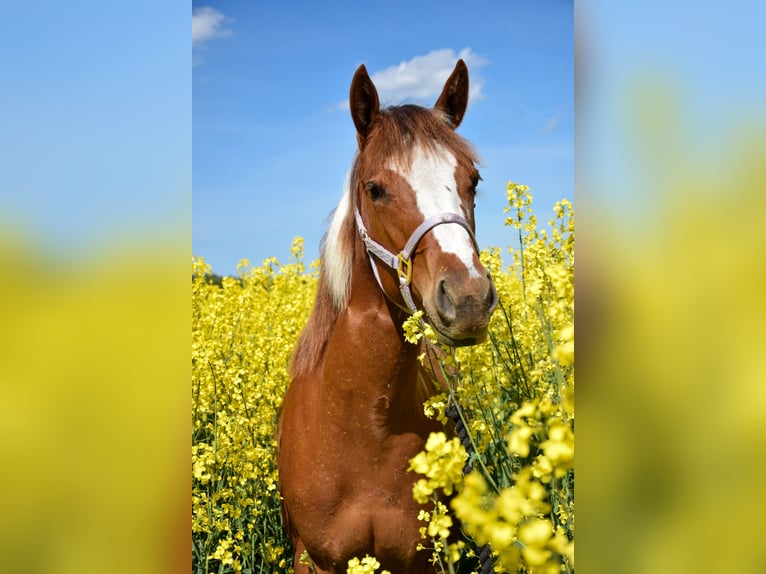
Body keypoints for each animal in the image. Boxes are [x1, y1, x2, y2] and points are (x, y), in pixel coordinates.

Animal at [277, 59, 498, 574]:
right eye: (374, 189)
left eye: (473, 181)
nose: (469, 298)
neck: (364, 427)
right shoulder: (312, 559)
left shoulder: (424, 557)